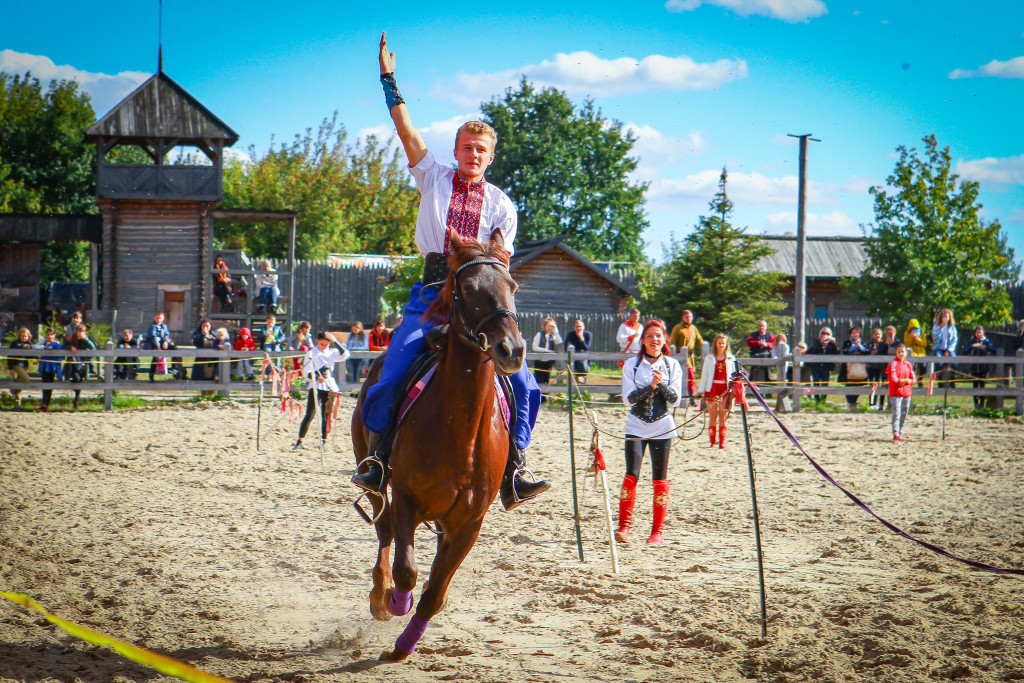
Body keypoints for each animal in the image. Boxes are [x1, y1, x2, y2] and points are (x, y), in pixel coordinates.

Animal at [354, 229, 528, 663]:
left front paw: (404, 645)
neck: (460, 432)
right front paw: (395, 601)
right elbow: (407, 571)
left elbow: (434, 592)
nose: (511, 350)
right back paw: (380, 595)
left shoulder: (468, 523)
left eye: (513, 286)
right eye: (468, 289)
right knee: (383, 530)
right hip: (376, 480)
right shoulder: (406, 501)